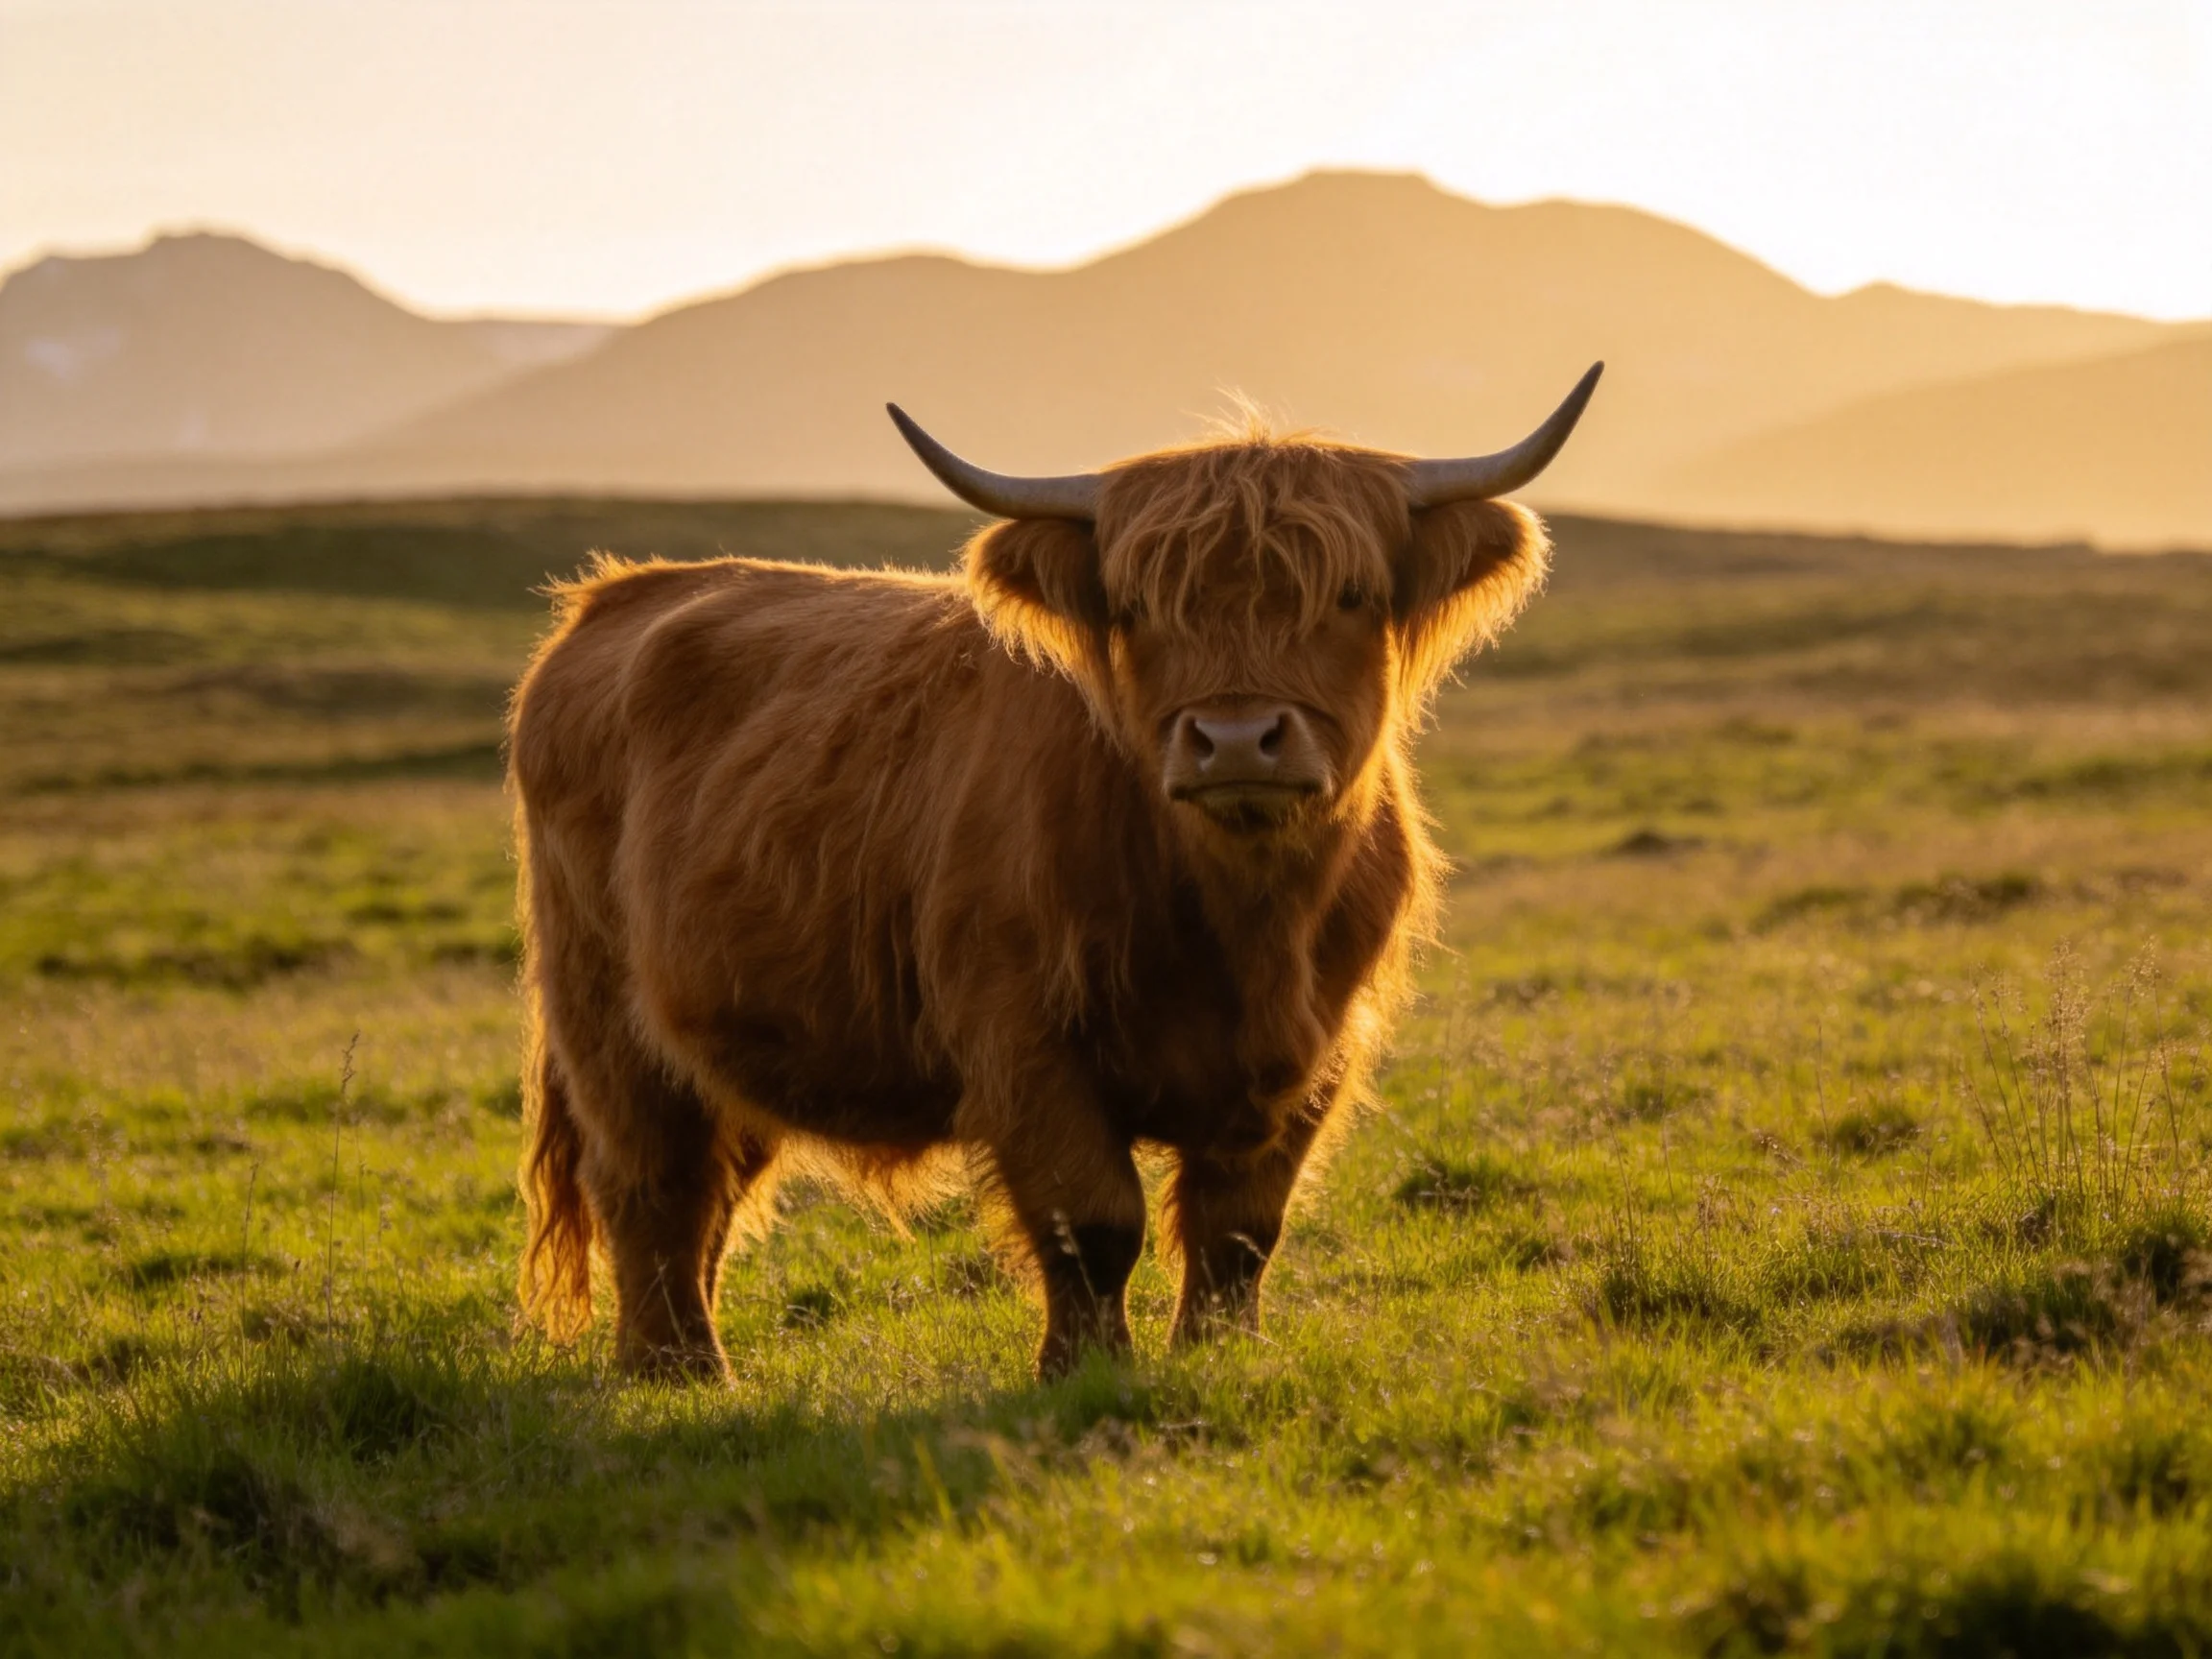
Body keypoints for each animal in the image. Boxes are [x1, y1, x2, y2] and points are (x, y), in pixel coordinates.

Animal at [509, 365, 1602, 1381]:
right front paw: (1084, 1370)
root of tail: (616, 595)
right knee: (651, 1181)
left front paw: (1219, 1355)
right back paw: (676, 1369)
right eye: (1138, 605)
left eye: (1350, 595)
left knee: (715, 1188)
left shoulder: (1316, 1048)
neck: (1244, 929)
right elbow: (1095, 1220)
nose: (1235, 739)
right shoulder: (1023, 1039)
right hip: (604, 1014)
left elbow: (1240, 1230)